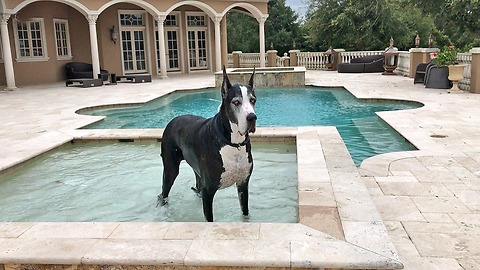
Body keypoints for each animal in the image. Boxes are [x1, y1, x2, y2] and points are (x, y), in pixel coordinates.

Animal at [158, 67, 256, 221]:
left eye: (253, 100)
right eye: (236, 102)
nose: (252, 117)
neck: (233, 143)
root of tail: (172, 120)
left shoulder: (243, 184)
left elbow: (245, 212)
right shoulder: (208, 191)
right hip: (170, 169)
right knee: (163, 193)